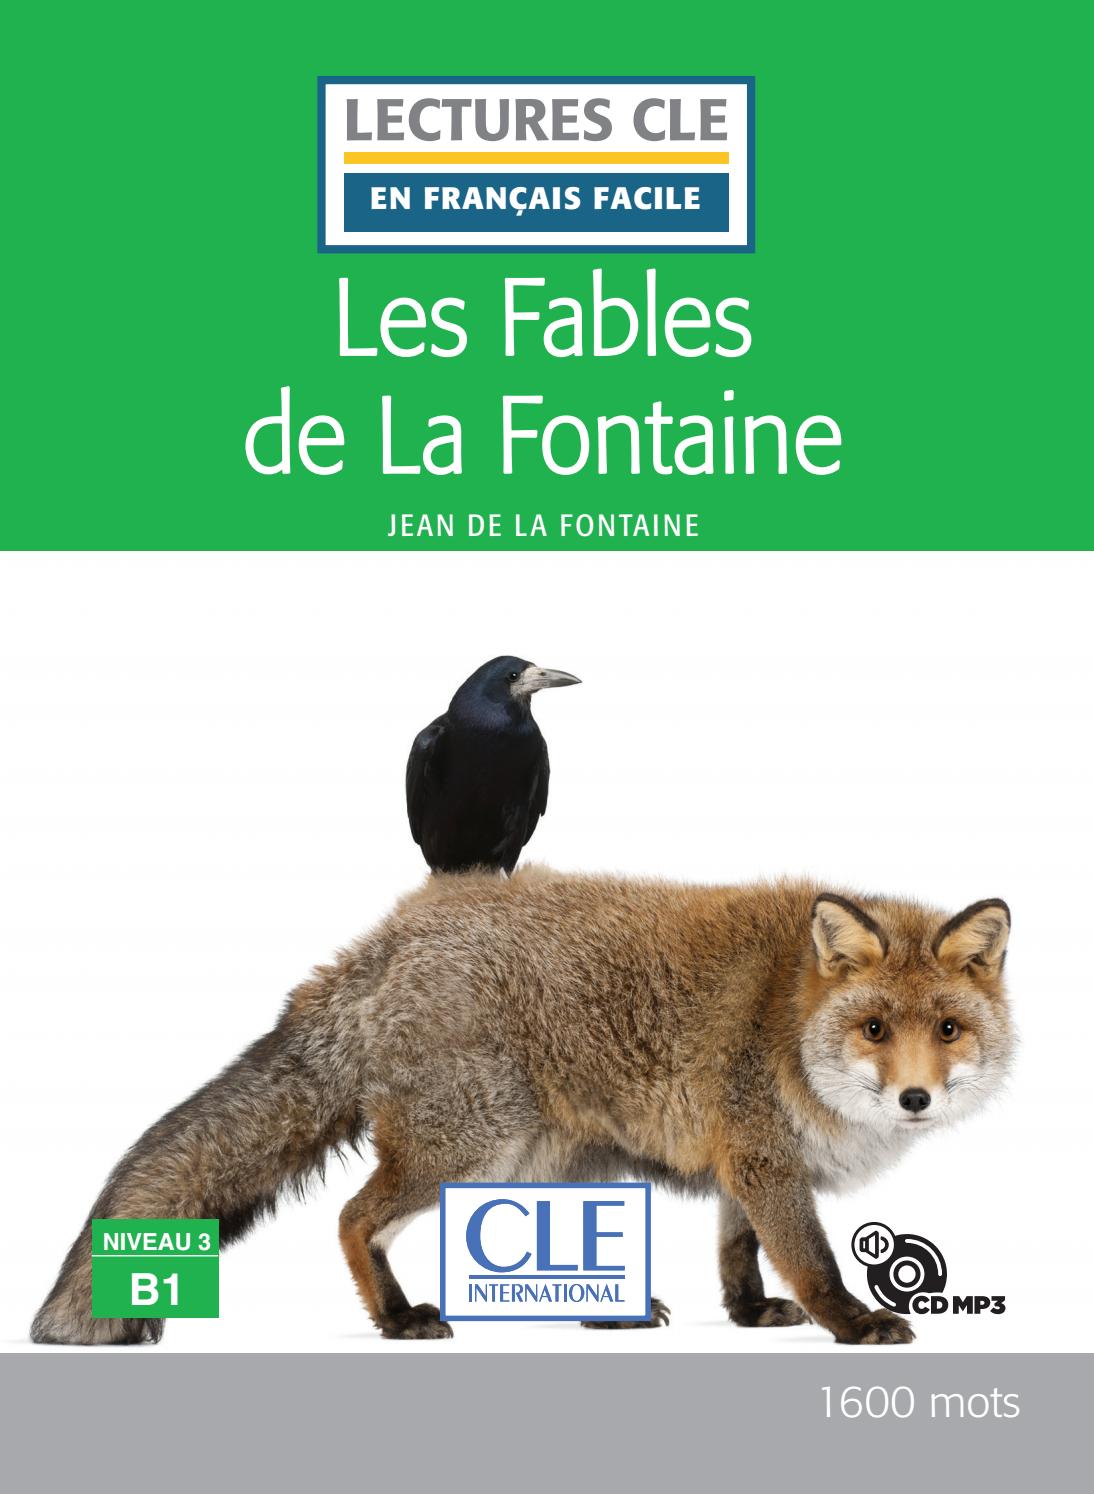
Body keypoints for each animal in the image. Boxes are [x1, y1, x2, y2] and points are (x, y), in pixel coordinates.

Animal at [30, 870, 1012, 1346]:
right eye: (876, 1027)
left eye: (949, 1029)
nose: (915, 1096)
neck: (788, 1014)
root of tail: (387, 937)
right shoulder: (765, 1156)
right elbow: (811, 1261)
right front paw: (851, 1322)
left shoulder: (744, 1156)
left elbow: (738, 1253)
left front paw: (746, 1314)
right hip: (469, 1147)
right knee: (352, 1219)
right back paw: (397, 1320)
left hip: (557, 1163)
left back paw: (607, 1311)